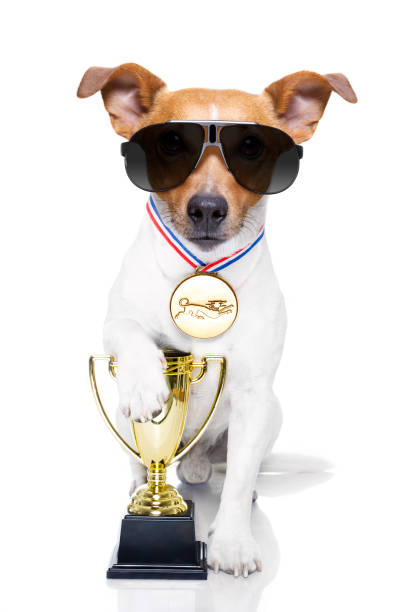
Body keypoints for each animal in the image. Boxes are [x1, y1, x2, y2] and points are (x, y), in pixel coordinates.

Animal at [77, 64, 356, 576]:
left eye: (251, 148)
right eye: (170, 144)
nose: (207, 208)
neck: (203, 272)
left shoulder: (253, 396)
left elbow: (240, 476)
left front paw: (232, 543)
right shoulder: (115, 325)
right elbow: (131, 335)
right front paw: (145, 384)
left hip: (272, 414)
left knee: (227, 468)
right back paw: (143, 481)